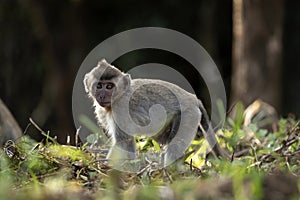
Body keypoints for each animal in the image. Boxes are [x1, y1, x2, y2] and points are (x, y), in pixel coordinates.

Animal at [84, 59, 225, 167]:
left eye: (109, 86)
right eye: (99, 86)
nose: (101, 96)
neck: (118, 97)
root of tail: (193, 98)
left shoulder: (120, 110)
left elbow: (124, 142)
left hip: (189, 115)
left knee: (175, 145)